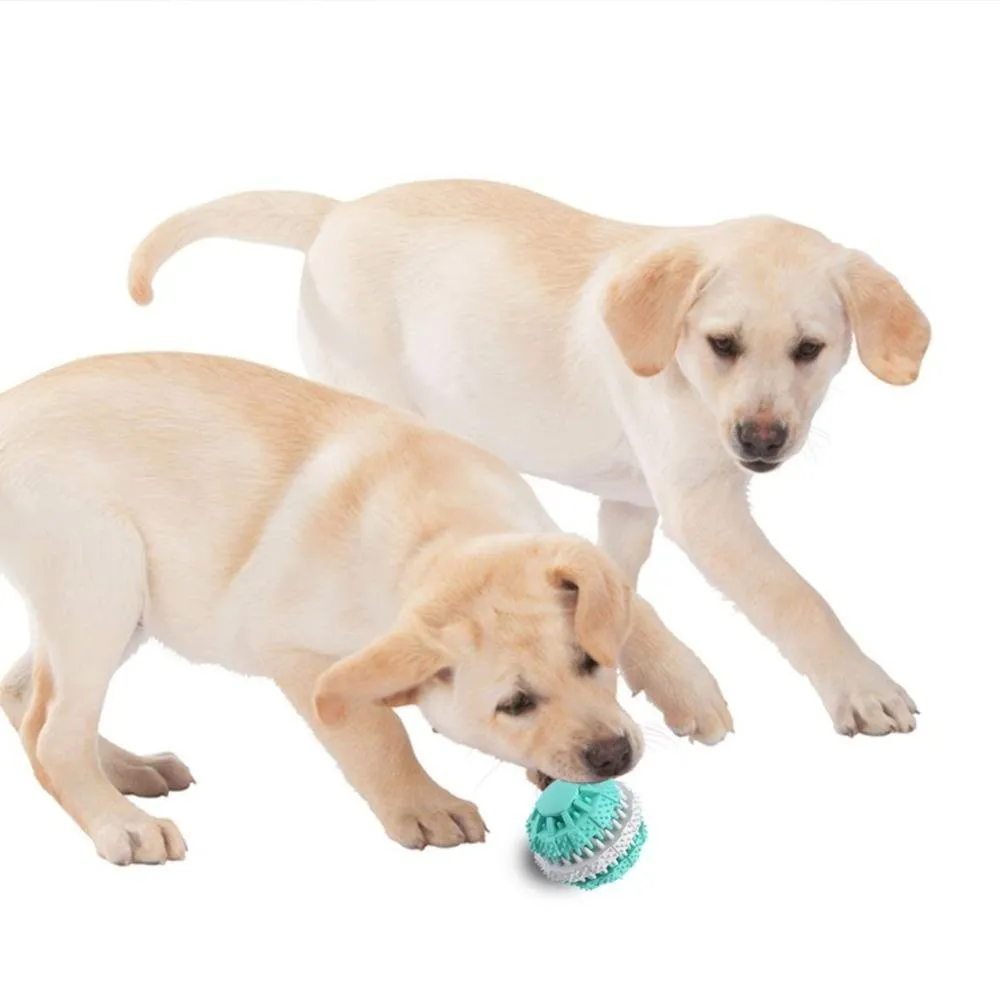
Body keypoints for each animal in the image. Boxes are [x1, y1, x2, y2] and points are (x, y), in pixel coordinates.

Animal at [1, 356, 728, 864]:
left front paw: (691, 689)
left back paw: (130, 770)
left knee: (26, 697)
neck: (443, 536)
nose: (613, 755)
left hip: (120, 607)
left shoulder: (554, 539)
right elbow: (374, 731)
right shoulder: (296, 653)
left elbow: (633, 607)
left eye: (589, 664)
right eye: (514, 705)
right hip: (102, 576)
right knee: (53, 733)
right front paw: (424, 804)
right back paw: (121, 821)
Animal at [131, 184, 928, 740]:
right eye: (722, 344)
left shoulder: (633, 505)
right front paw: (862, 688)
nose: (762, 440)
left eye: (810, 349)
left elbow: (617, 587)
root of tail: (338, 212)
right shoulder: (703, 509)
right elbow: (796, 597)